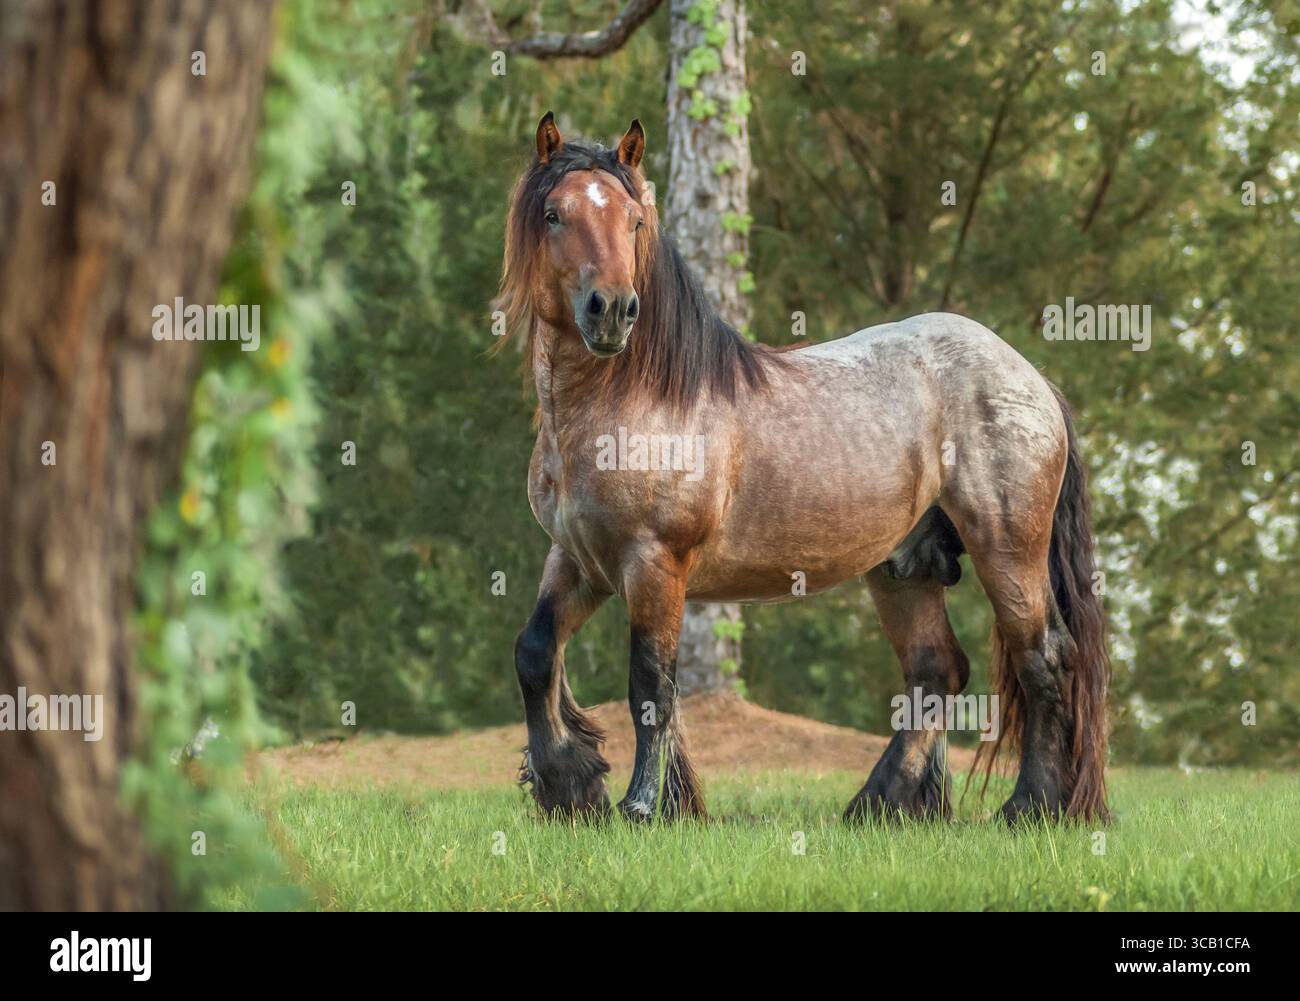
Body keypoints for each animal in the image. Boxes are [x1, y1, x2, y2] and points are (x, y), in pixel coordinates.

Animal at [498, 111, 1109, 826]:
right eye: (553, 214)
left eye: (635, 221)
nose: (613, 310)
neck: (630, 404)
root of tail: (1031, 379)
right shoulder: (580, 559)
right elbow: (535, 653)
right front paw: (570, 785)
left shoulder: (653, 563)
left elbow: (650, 684)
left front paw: (644, 806)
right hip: (904, 566)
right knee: (936, 669)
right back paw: (881, 804)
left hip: (1008, 551)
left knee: (1044, 660)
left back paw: (1032, 806)